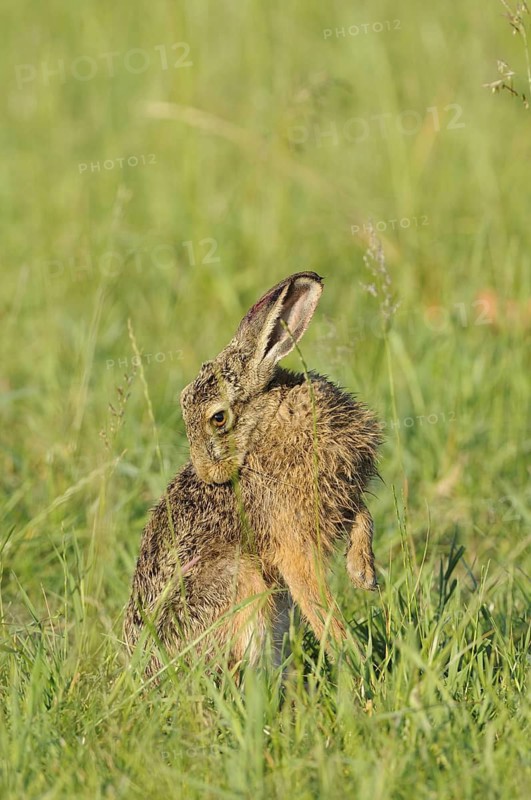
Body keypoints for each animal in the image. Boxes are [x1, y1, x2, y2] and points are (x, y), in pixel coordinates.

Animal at [123, 271, 382, 676]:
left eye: (218, 418)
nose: (207, 473)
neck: (271, 418)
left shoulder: (342, 497)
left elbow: (364, 518)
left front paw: (363, 574)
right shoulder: (292, 541)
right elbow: (313, 596)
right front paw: (351, 658)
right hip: (240, 581)